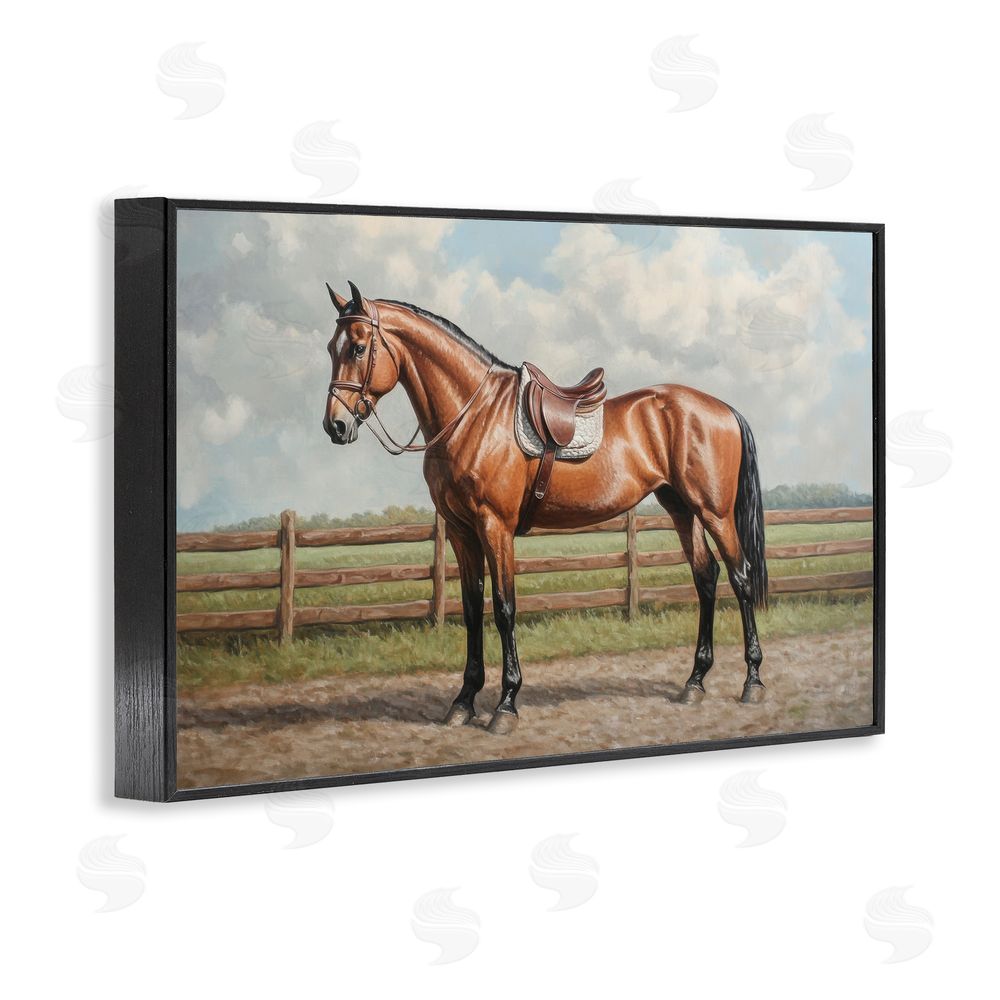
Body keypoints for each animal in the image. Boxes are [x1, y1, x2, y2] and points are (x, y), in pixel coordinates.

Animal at [323, 280, 768, 735]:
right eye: (330, 348)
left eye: (358, 348)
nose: (335, 426)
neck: (472, 415)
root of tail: (722, 409)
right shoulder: (462, 532)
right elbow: (471, 608)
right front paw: (464, 701)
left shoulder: (495, 527)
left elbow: (504, 609)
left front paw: (505, 704)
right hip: (682, 510)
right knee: (706, 579)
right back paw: (694, 682)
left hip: (714, 513)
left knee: (740, 578)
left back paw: (752, 681)